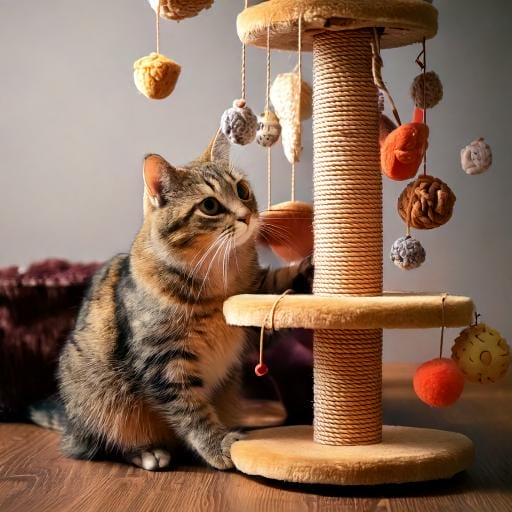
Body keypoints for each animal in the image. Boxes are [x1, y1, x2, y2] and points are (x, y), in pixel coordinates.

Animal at [32, 133, 314, 472]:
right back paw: (147, 452)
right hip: (104, 404)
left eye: (242, 190)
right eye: (210, 205)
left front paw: (313, 267)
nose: (246, 216)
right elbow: (192, 411)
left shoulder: (253, 293)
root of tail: (71, 426)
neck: (218, 275)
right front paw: (217, 445)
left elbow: (282, 284)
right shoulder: (165, 361)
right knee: (106, 444)